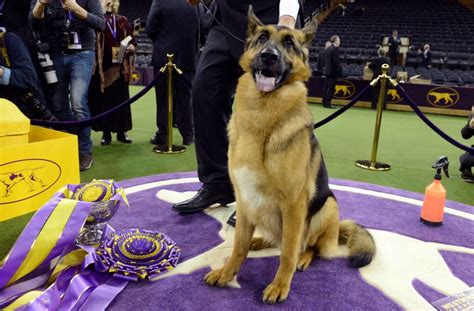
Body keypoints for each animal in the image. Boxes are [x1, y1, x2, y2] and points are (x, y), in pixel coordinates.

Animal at [206, 7, 376, 304]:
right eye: (262, 38)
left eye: (289, 43)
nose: (268, 56)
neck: (263, 115)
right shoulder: (245, 199)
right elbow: (238, 246)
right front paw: (227, 272)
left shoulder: (294, 205)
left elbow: (287, 252)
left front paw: (280, 284)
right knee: (275, 239)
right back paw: (259, 241)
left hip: (327, 207)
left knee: (311, 246)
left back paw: (303, 257)